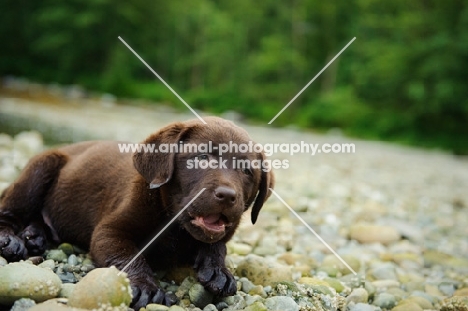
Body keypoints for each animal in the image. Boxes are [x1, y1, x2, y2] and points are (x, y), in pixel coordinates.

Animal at [0, 117, 274, 310]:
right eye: (202, 157)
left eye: (247, 171)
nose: (227, 196)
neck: (174, 226)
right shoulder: (109, 231)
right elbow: (128, 255)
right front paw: (145, 286)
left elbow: (218, 245)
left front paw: (218, 269)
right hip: (40, 168)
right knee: (9, 211)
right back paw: (11, 240)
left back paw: (35, 235)